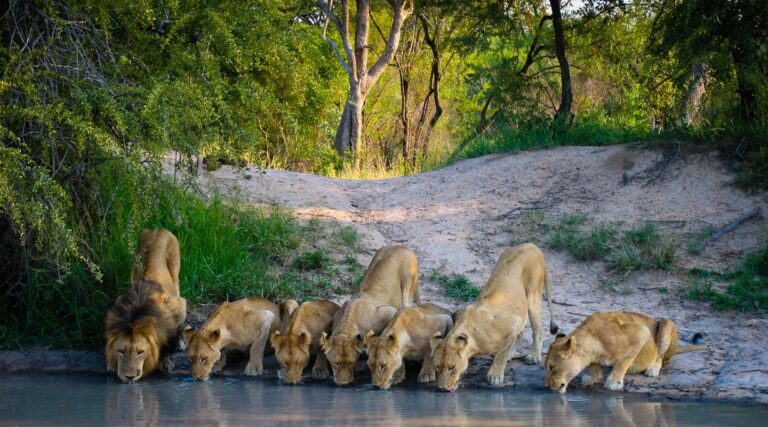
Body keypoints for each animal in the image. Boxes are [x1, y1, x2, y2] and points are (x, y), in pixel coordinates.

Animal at [105, 228, 187, 383]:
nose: (129, 377)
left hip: (175, 275)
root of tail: (158, 228)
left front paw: (165, 362)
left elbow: (167, 338)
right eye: (121, 351)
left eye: (140, 352)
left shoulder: (177, 306)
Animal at [320, 246, 421, 385]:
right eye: (336, 363)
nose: (343, 383)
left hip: (407, 283)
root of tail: (403, 247)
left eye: (351, 363)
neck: (347, 322)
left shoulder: (389, 312)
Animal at [430, 243, 558, 391]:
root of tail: (531, 245)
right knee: (521, 333)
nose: (442, 388)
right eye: (436, 368)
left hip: (533, 294)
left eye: (452, 368)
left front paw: (495, 376)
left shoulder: (512, 323)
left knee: (537, 330)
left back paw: (534, 356)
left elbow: (501, 355)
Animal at [544, 311, 706, 393]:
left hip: (666, 323)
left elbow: (623, 363)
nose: (546, 386)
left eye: (552, 367)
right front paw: (593, 377)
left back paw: (652, 369)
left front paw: (614, 382)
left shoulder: (641, 332)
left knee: (660, 357)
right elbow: (595, 365)